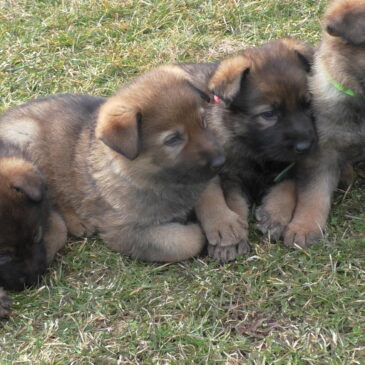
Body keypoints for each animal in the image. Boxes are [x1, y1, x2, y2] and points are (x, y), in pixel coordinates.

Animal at [0, 65, 223, 264]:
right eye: (173, 139)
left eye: (203, 122)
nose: (221, 162)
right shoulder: (125, 231)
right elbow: (185, 242)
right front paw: (195, 229)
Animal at [182, 37, 316, 262]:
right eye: (269, 114)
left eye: (306, 104)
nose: (305, 146)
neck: (255, 150)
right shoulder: (230, 177)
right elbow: (234, 203)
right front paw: (232, 240)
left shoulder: (290, 165)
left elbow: (289, 185)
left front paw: (275, 215)